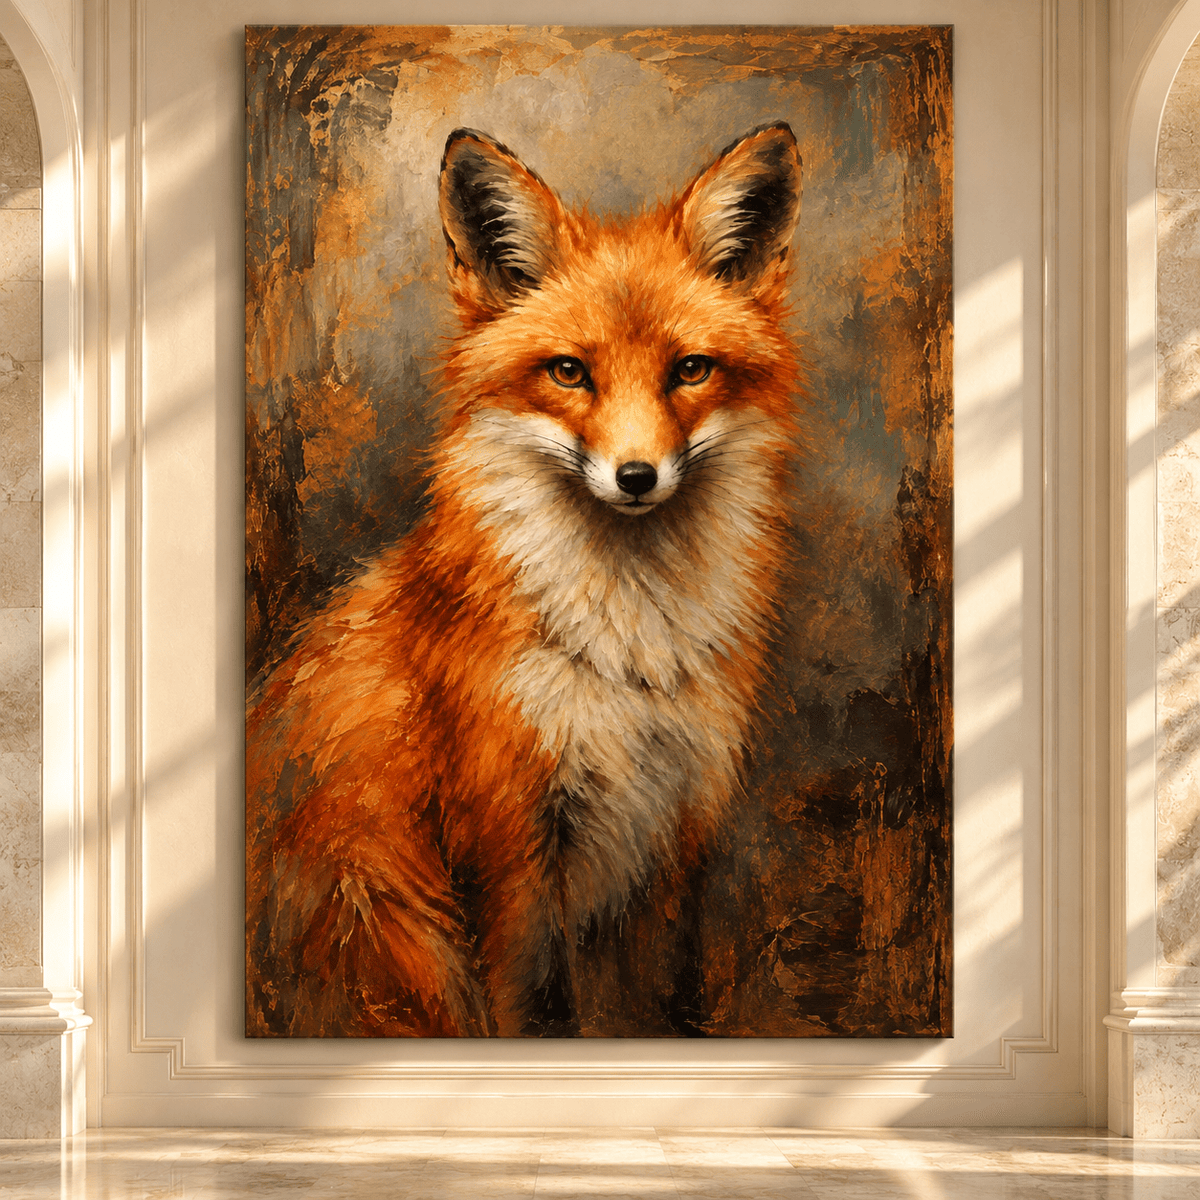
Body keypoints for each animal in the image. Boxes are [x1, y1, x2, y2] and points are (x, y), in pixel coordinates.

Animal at [246, 122, 804, 1038]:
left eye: (689, 369)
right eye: (569, 372)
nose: (637, 476)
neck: (628, 661)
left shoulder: (664, 848)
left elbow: (642, 1018)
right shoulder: (507, 860)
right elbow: (524, 1017)